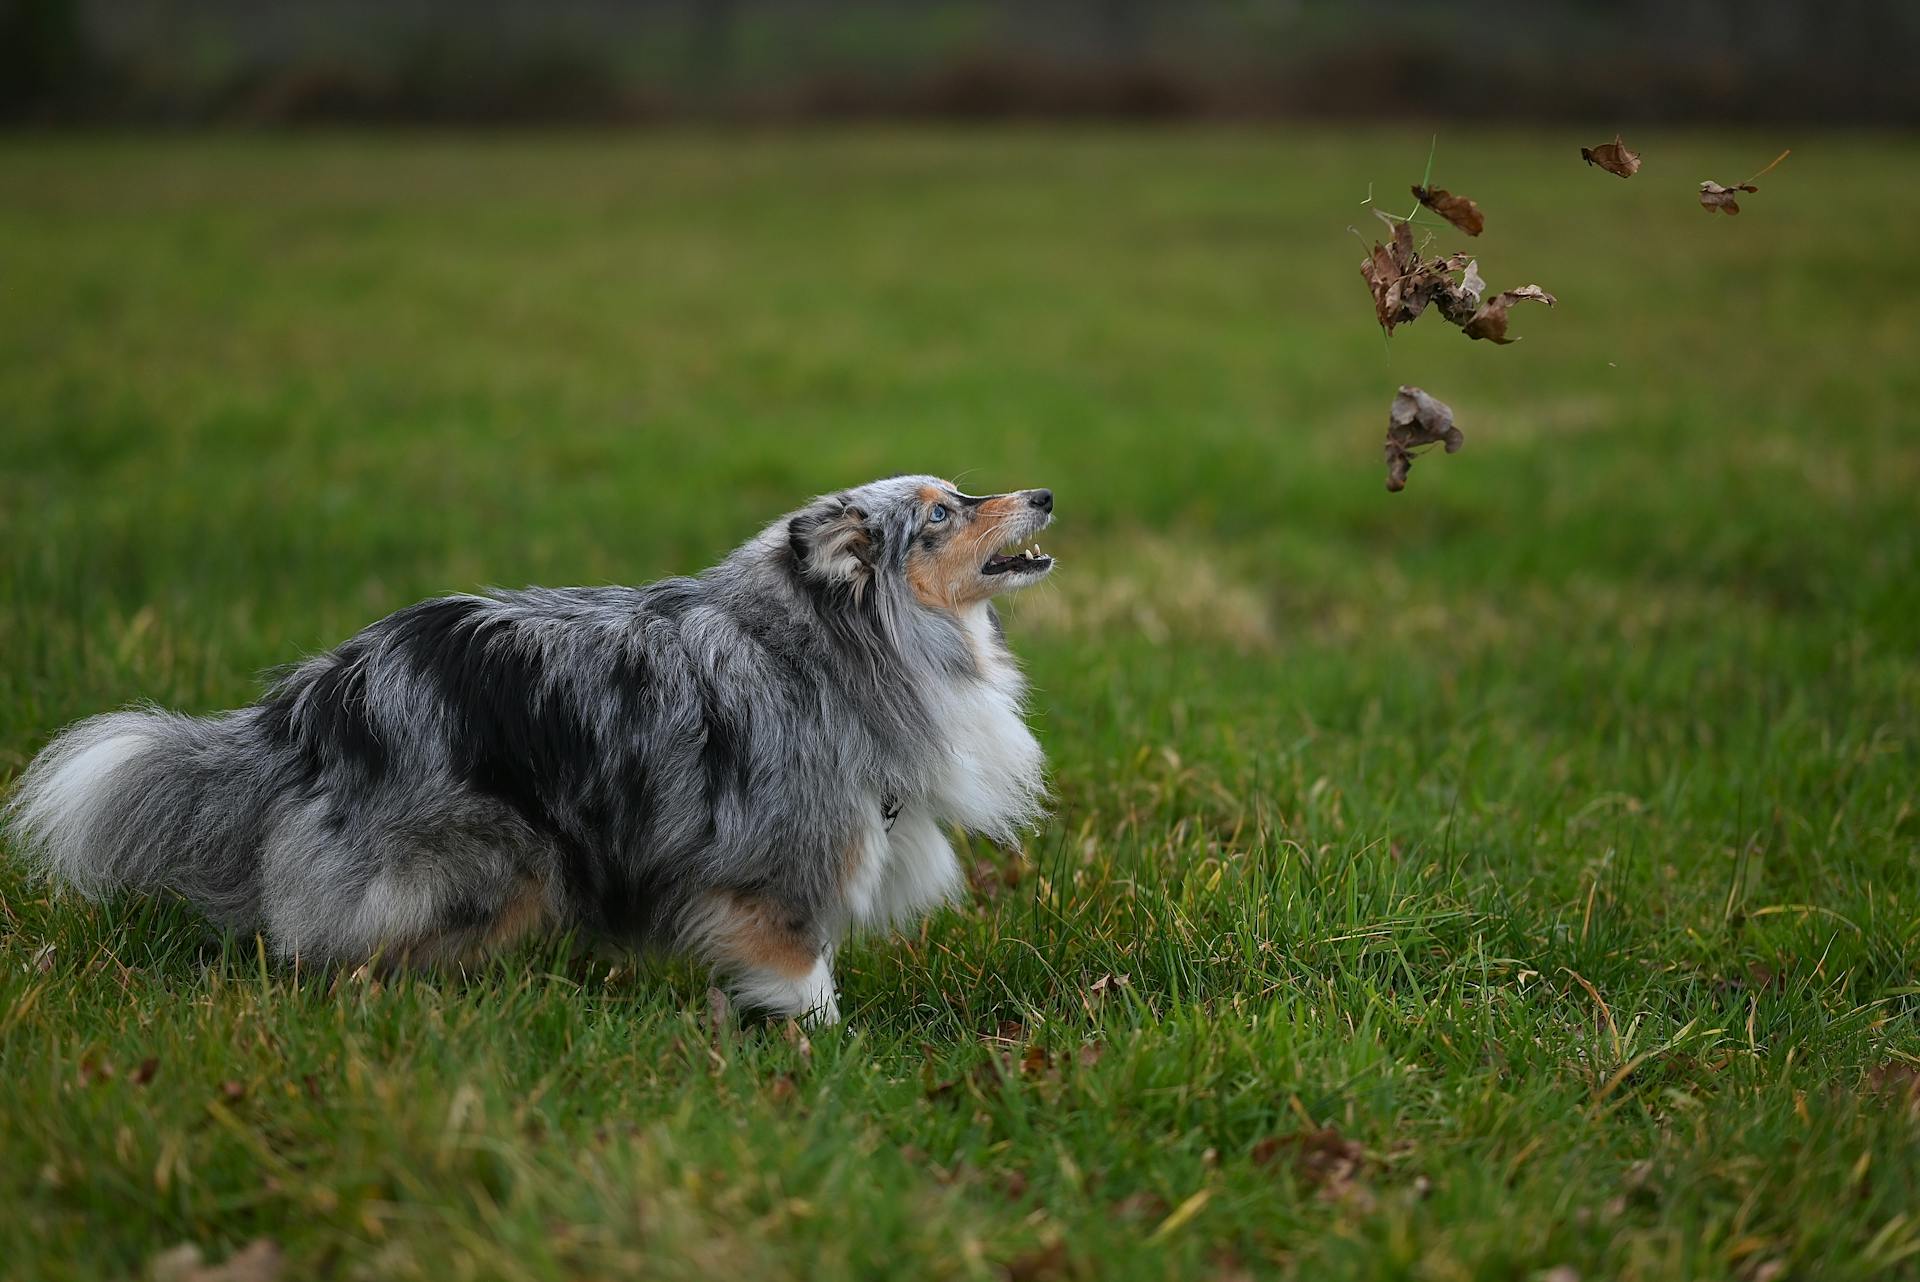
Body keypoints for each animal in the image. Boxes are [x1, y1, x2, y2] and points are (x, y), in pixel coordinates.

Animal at [3, 475, 1052, 1028]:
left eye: (961, 494)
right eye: (943, 514)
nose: (1041, 493)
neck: (833, 646)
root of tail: (313, 701)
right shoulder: (785, 855)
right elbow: (804, 970)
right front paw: (828, 1051)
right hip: (493, 865)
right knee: (340, 954)